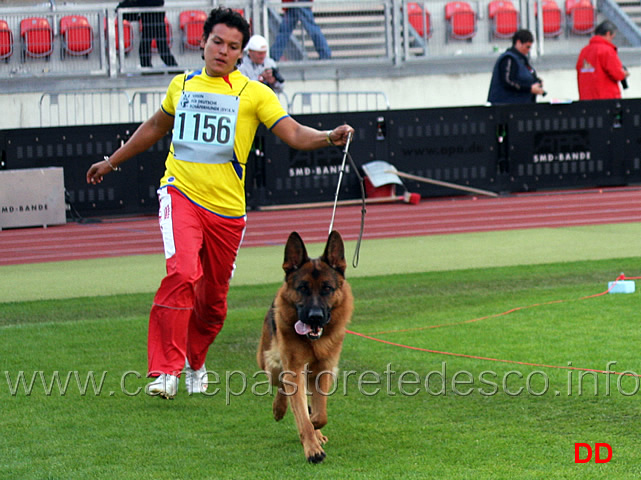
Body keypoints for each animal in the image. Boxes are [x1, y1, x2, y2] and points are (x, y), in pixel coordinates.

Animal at [256, 231, 356, 464]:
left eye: (327, 288)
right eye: (302, 288)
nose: (315, 317)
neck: (313, 342)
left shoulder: (323, 369)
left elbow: (319, 414)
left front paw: (315, 430)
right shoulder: (294, 369)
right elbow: (302, 415)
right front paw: (313, 450)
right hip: (270, 363)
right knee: (281, 383)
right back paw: (279, 408)